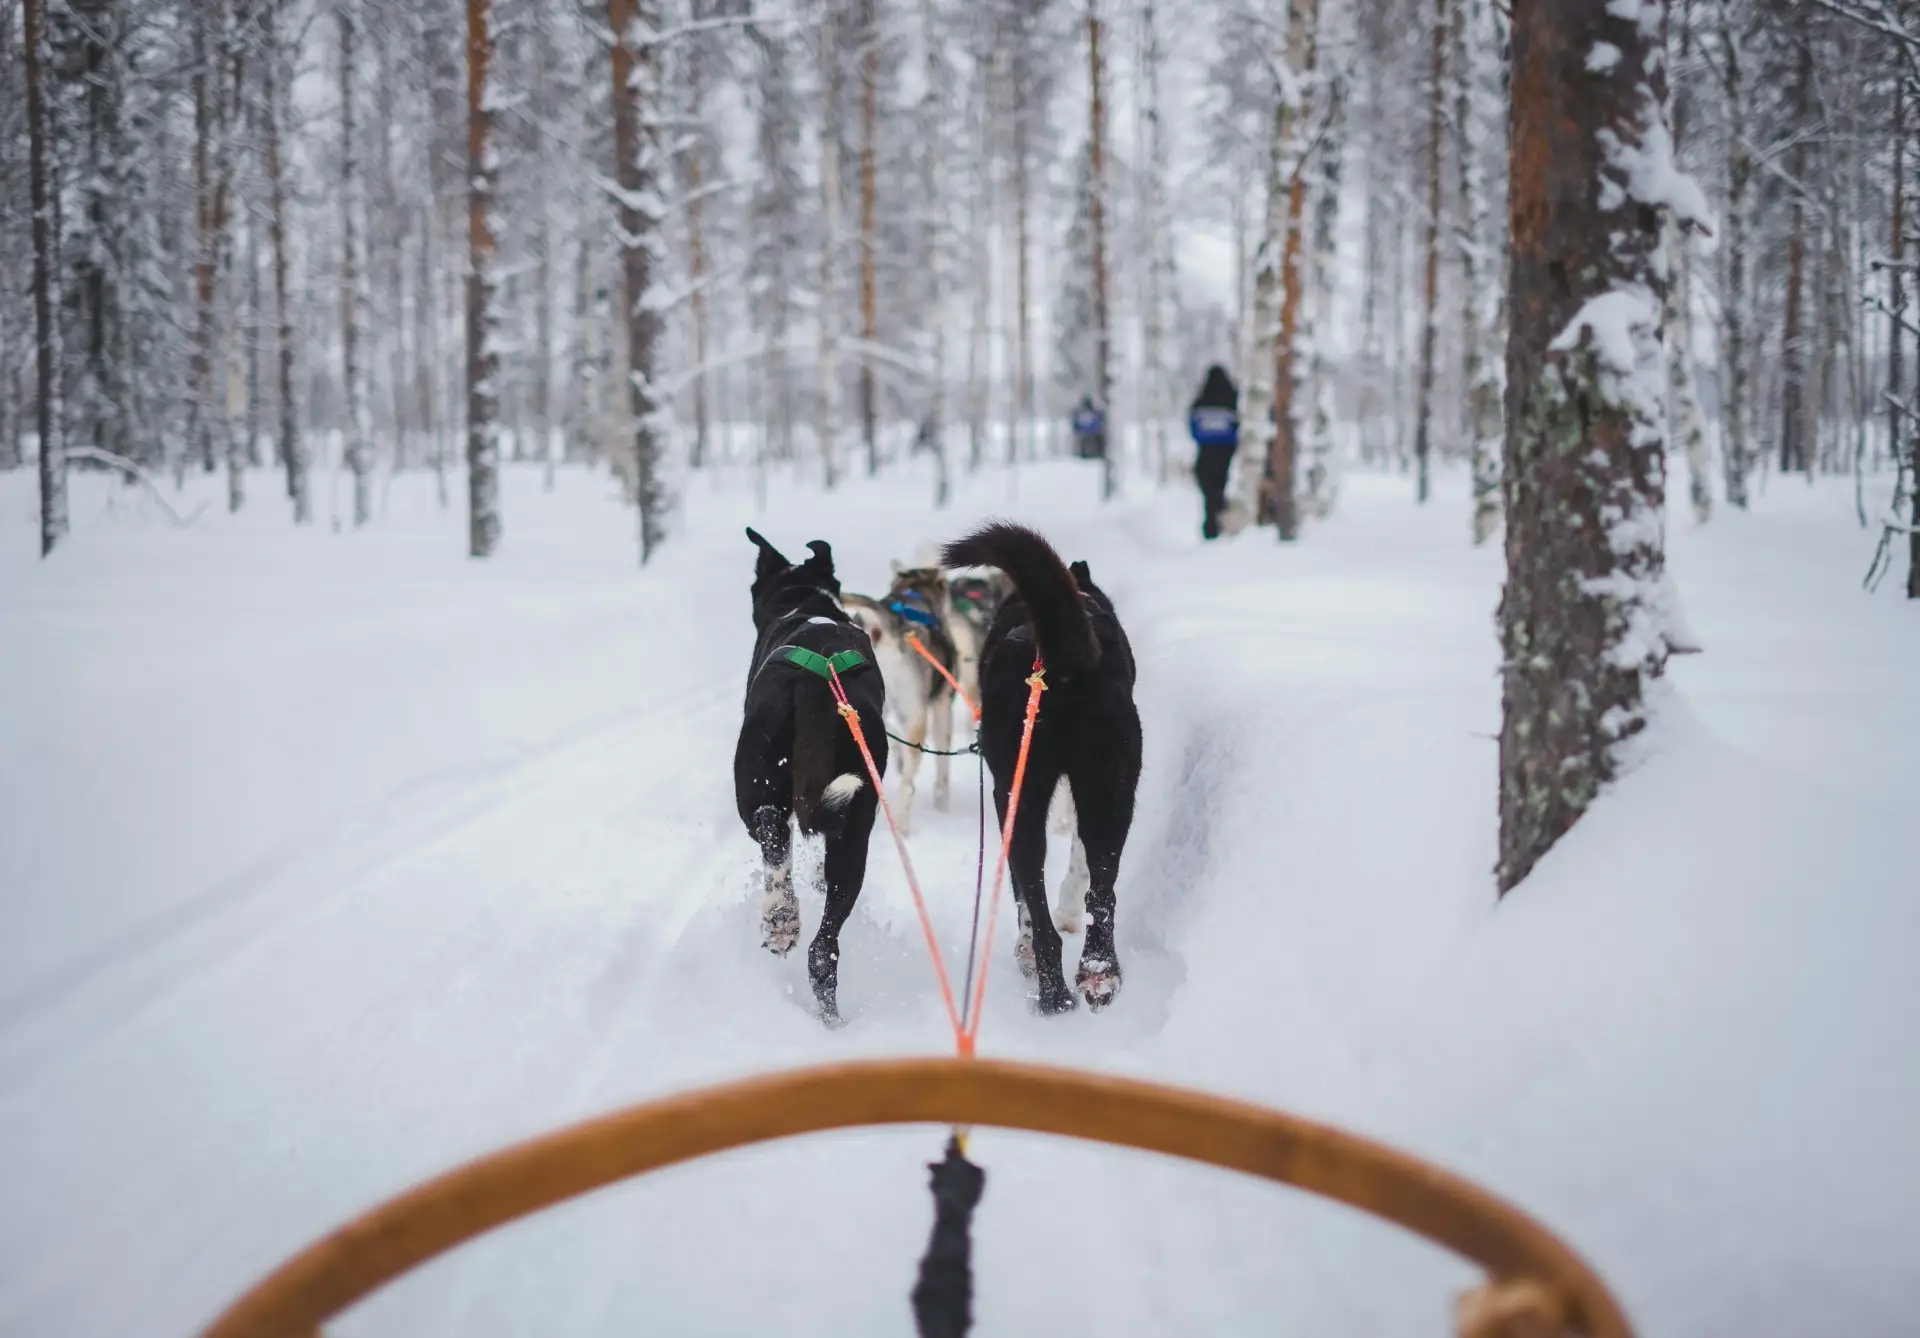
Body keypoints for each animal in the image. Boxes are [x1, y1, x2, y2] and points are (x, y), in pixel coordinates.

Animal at [737, 525, 887, 1021]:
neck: (805, 602)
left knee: (770, 831)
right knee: (823, 950)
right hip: (852, 819)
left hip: (759, 786)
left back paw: (781, 919)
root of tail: (816, 684)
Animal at [844, 560, 960, 829]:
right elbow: (943, 762)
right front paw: (942, 800)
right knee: (909, 781)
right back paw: (901, 823)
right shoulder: (941, 706)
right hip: (917, 716)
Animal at [944, 522, 1136, 1013]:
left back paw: (1052, 991)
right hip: (1109, 790)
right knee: (1101, 893)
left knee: (1037, 901)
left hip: (1019, 798)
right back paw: (1095, 975)